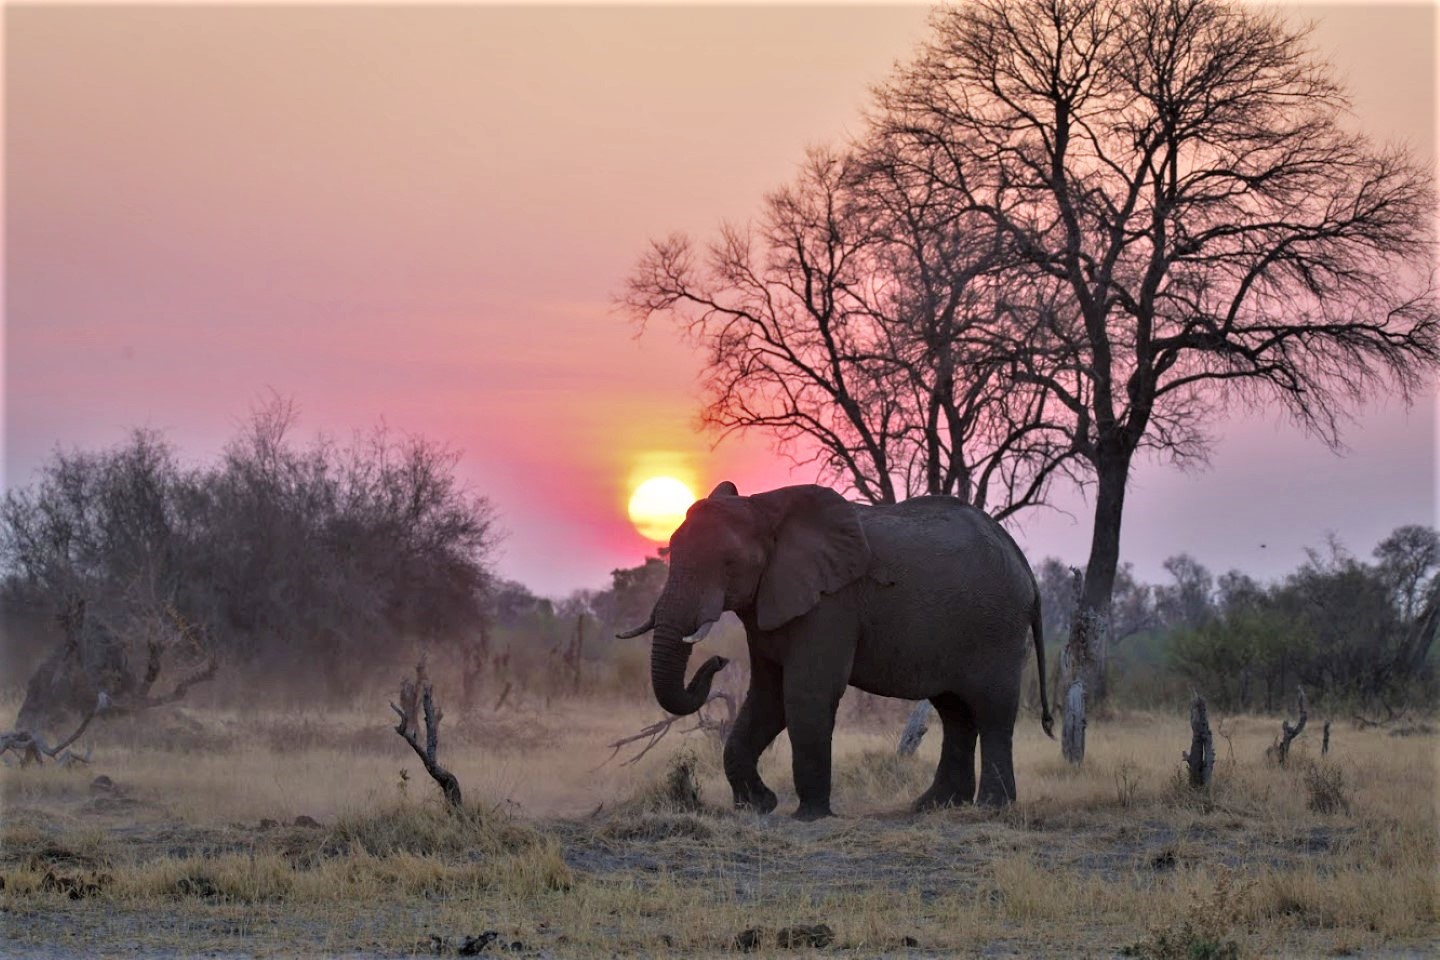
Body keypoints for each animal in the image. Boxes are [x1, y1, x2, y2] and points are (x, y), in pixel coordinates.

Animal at [613, 480, 1054, 817]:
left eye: (729, 562)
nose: (719, 660)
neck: (763, 507)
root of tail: (1024, 567)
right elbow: (768, 697)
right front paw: (758, 805)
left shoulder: (831, 603)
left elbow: (805, 692)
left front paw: (808, 816)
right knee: (955, 712)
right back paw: (932, 807)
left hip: (996, 628)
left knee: (992, 710)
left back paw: (991, 808)